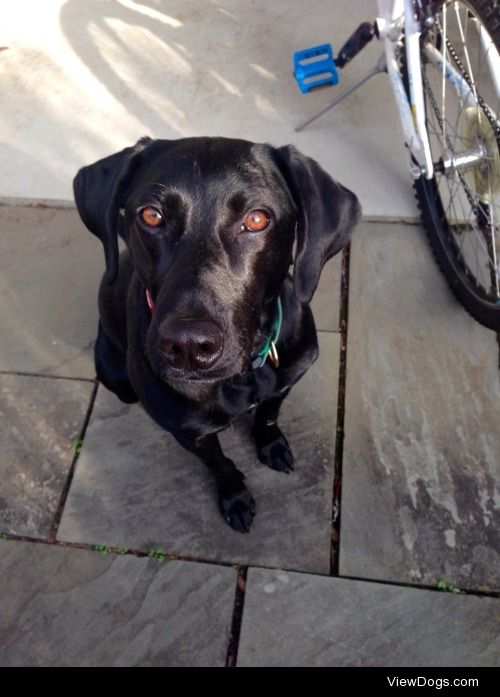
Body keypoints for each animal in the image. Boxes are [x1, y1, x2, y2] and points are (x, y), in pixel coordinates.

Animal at [73, 140, 360, 532]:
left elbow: (268, 415)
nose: (189, 346)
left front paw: (272, 444)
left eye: (257, 219)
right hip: (112, 372)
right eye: (151, 216)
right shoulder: (191, 432)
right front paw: (235, 497)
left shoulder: (286, 381)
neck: (244, 375)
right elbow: (220, 463)